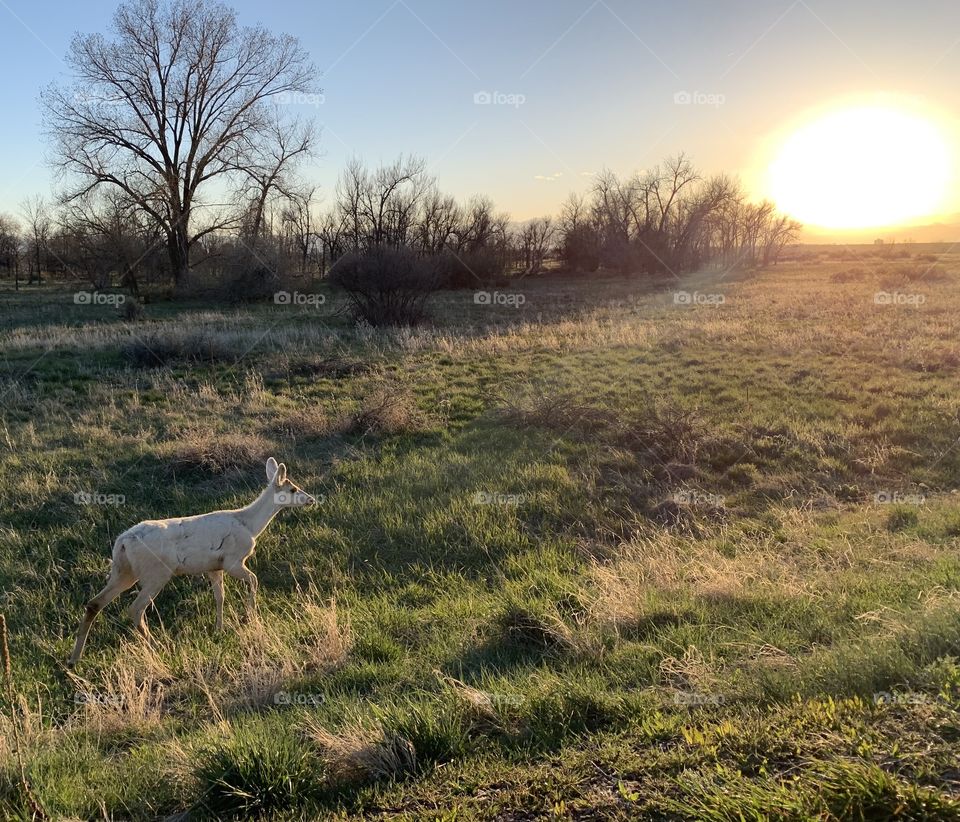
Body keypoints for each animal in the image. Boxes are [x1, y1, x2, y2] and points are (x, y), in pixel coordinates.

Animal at [67, 457, 315, 668]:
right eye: (293, 489)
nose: (311, 499)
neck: (249, 525)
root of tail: (123, 543)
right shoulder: (232, 560)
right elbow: (253, 580)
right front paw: (250, 617)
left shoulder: (214, 567)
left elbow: (219, 597)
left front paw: (219, 628)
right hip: (156, 572)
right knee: (135, 608)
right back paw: (158, 645)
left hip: (123, 571)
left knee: (94, 603)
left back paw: (74, 659)